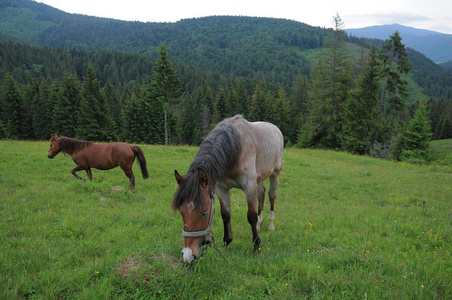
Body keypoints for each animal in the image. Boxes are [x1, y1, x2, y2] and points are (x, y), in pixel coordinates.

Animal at [172, 115, 282, 262]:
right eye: (181, 210)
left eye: (204, 212)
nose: (188, 255)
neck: (235, 149)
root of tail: (274, 128)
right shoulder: (222, 188)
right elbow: (226, 214)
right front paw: (226, 243)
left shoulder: (249, 187)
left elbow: (251, 216)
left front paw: (256, 246)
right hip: (258, 179)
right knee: (261, 194)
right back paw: (260, 224)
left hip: (275, 173)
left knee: (271, 196)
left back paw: (271, 225)